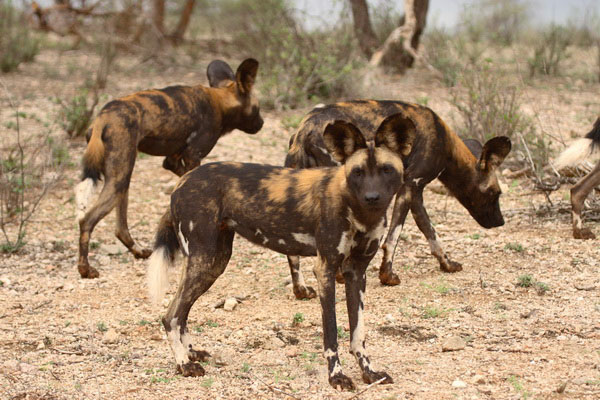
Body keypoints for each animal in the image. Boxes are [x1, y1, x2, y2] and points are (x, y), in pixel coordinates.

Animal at [75, 58, 262, 278]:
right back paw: (85, 269)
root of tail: (102, 118)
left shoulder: (172, 159)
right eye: (258, 108)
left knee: (120, 227)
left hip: (122, 176)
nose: (261, 124)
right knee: (87, 220)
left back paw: (138, 251)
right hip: (119, 178)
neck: (220, 101)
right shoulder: (193, 155)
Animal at [148, 114, 414, 390]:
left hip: (213, 263)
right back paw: (184, 364)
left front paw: (369, 372)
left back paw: (191, 353)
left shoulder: (356, 272)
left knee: (182, 313)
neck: (360, 212)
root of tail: (182, 182)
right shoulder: (326, 270)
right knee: (171, 316)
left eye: (386, 170)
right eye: (358, 172)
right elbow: (331, 334)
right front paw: (336, 376)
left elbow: (358, 333)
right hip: (204, 260)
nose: (372, 197)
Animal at [284, 100, 508, 296]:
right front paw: (388, 276)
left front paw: (447, 264)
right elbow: (393, 237)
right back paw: (337, 276)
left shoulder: (415, 193)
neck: (445, 143)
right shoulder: (409, 186)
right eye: (495, 193)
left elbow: (430, 231)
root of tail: (305, 129)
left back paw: (301, 290)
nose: (500, 221)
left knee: (292, 252)